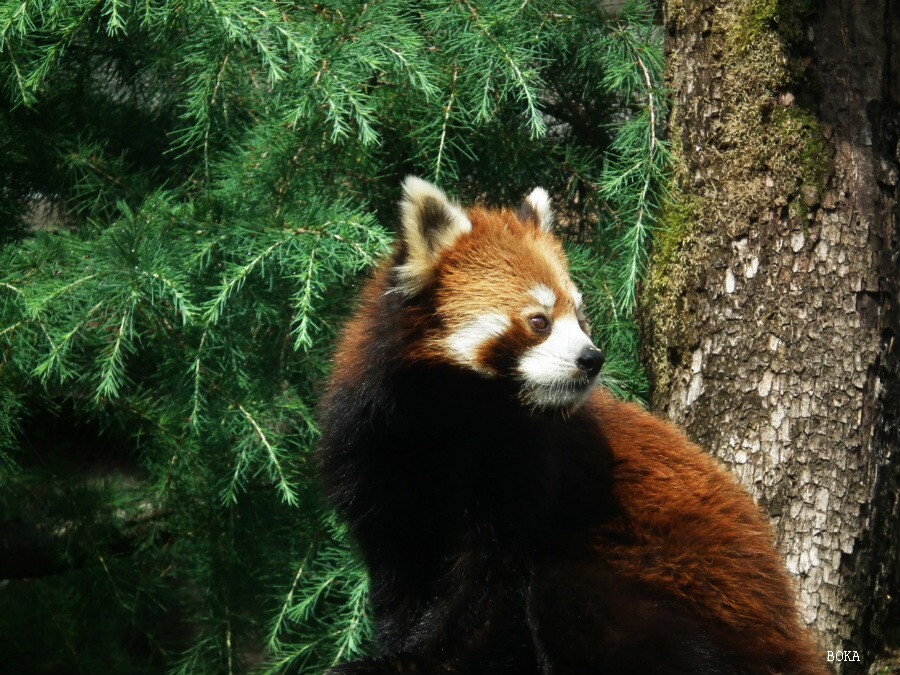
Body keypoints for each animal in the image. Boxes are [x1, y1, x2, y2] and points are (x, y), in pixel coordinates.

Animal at [318, 178, 828, 675]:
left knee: (566, 592)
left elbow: (489, 587)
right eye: (539, 321)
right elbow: (399, 575)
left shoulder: (527, 468)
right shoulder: (377, 461)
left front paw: (420, 659)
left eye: (581, 320)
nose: (592, 358)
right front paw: (394, 649)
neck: (453, 416)